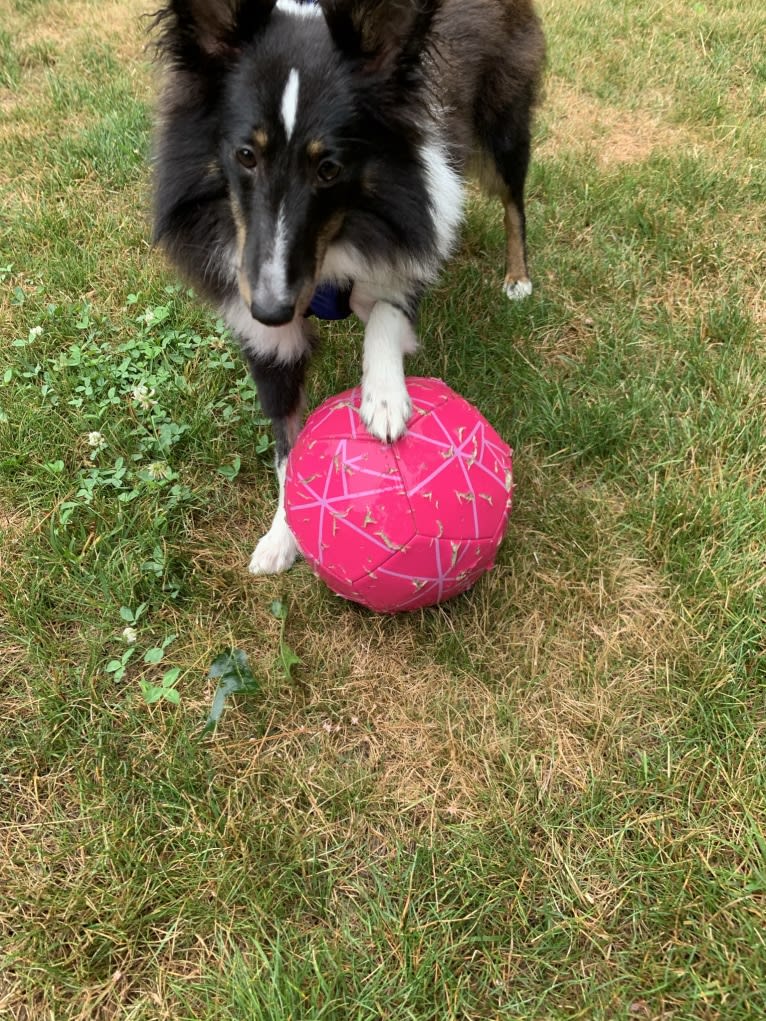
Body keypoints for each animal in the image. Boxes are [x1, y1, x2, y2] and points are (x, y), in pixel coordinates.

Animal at [150, 0, 547, 575]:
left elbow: (385, 313)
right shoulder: (266, 335)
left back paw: (517, 277)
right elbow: (288, 447)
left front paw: (384, 398)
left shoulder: (406, 246)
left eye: (329, 168)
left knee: (514, 203)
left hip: (502, 127)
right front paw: (284, 534)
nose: (271, 308)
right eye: (246, 155)